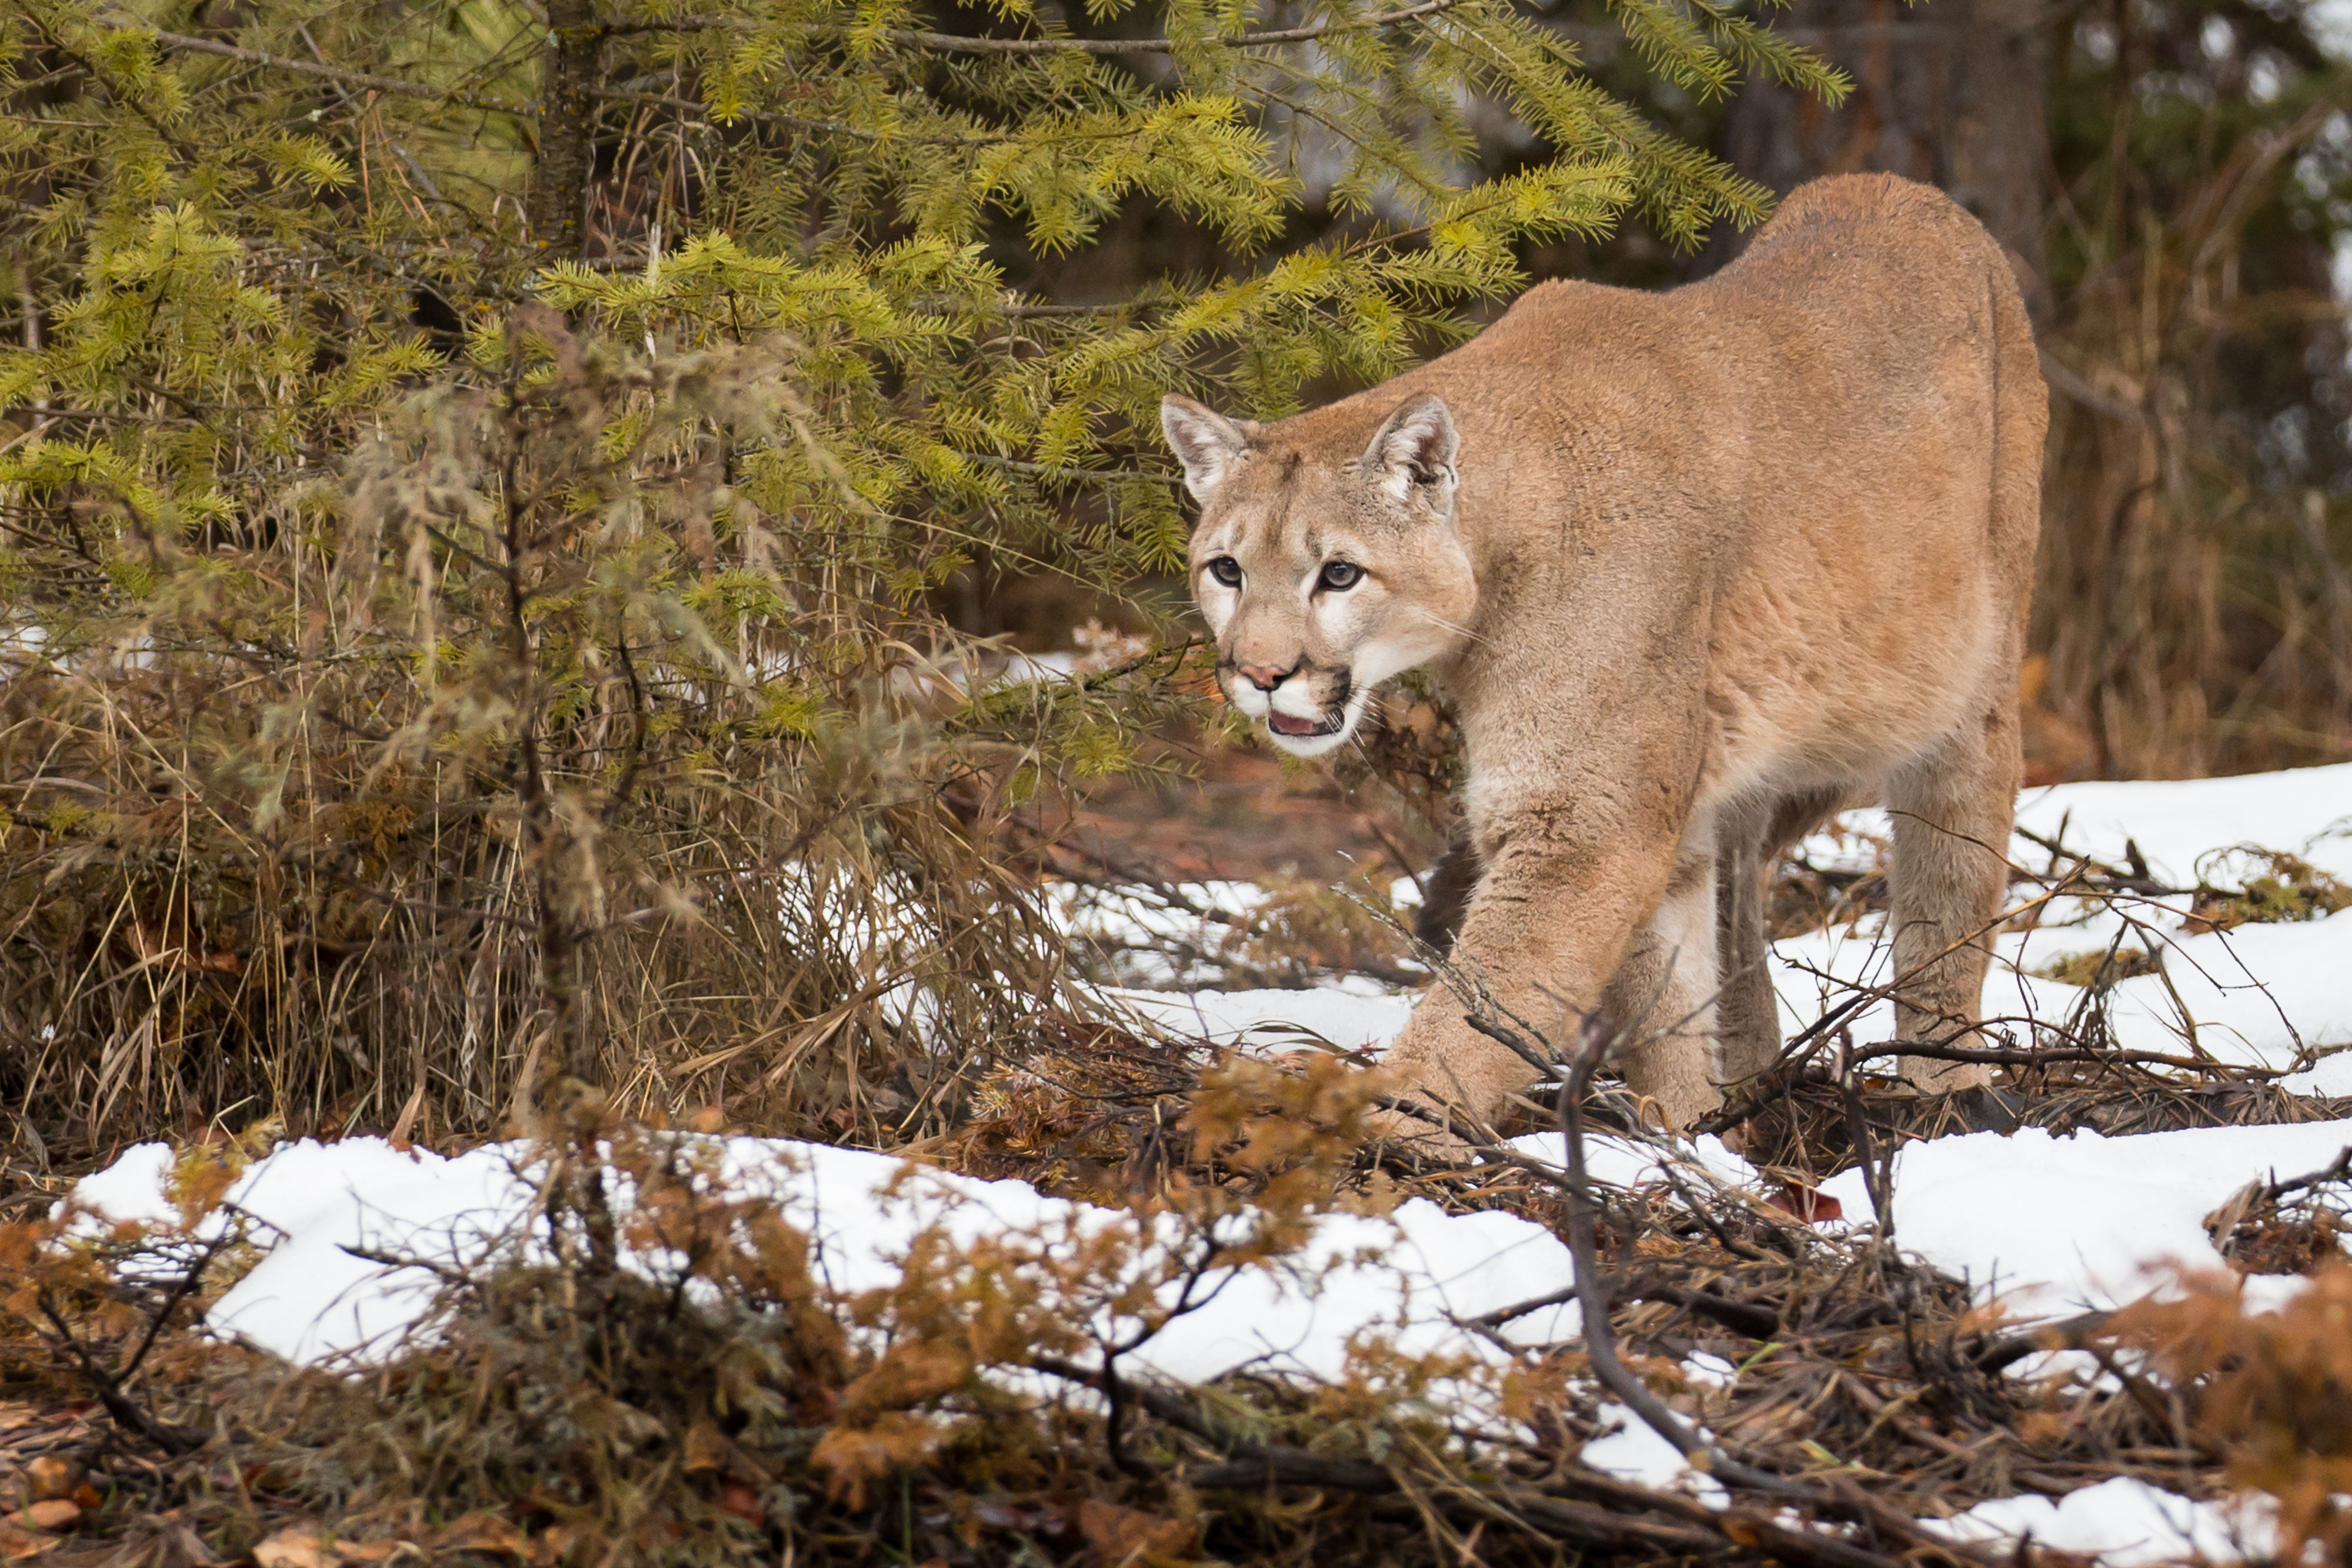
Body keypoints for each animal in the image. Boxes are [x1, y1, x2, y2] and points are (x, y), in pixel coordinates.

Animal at [1158, 173, 2047, 1133]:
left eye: (1340, 574)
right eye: (1226, 569)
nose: (1260, 674)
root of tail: (1912, 192)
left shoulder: (1585, 817)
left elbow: (1483, 1003)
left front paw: (1392, 1128)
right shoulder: (1640, 806)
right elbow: (1664, 996)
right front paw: (1688, 1129)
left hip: (1967, 700)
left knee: (1949, 893)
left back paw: (1942, 1092)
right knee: (1737, 901)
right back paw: (1752, 1080)